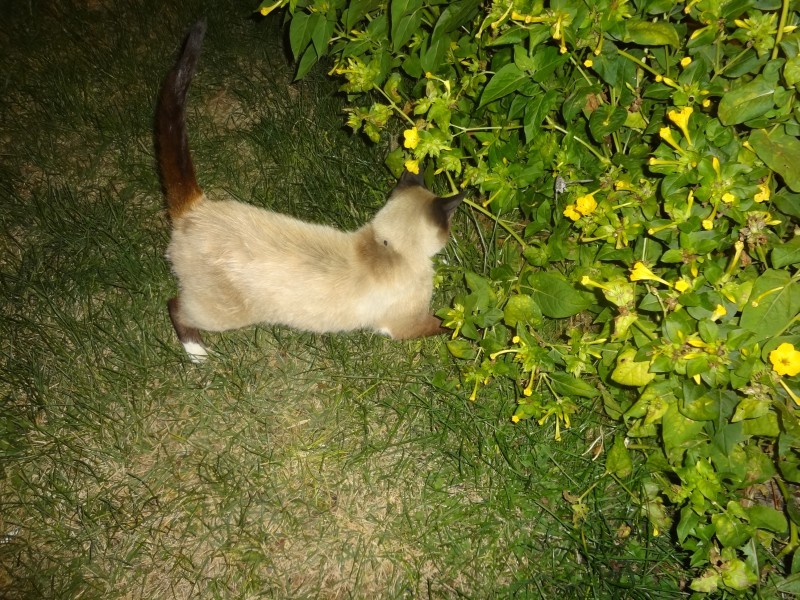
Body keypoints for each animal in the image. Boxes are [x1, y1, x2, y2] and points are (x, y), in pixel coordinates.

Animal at [155, 21, 462, 360]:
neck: (389, 247)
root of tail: (196, 208)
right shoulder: (409, 325)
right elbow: (446, 324)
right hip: (221, 314)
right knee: (176, 306)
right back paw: (198, 353)